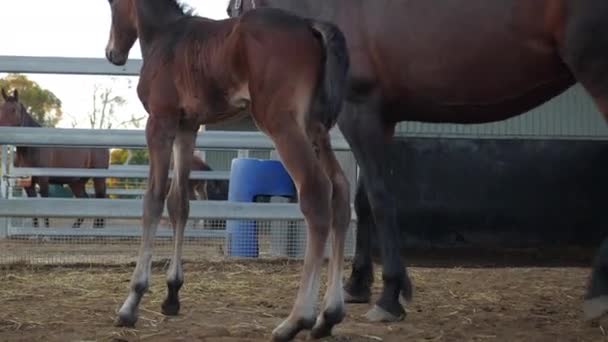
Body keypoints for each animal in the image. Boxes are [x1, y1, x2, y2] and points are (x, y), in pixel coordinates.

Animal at [0, 88, 109, 228]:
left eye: (13, 109)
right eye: (1, 108)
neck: (32, 147)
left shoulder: (43, 181)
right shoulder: (28, 185)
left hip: (98, 179)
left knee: (101, 199)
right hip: (76, 182)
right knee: (84, 200)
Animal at [104, 1, 350, 340]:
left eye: (111, 4)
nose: (112, 53)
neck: (166, 36)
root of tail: (311, 26)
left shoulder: (160, 121)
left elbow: (153, 200)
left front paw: (132, 302)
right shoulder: (187, 127)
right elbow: (179, 204)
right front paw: (172, 295)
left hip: (282, 122)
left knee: (316, 192)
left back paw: (296, 320)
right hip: (316, 129)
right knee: (340, 190)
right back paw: (329, 316)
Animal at [228, 0, 608, 326]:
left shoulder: (359, 111)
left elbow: (380, 198)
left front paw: (390, 295)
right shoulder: (381, 120)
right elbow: (363, 202)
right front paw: (357, 285)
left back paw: (597, 293)